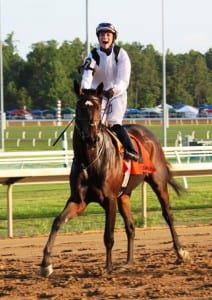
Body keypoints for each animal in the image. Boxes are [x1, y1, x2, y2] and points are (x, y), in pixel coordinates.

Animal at [40, 81, 190, 276]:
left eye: (98, 107)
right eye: (79, 108)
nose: (92, 138)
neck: (90, 162)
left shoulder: (109, 199)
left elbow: (108, 235)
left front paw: (108, 267)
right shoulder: (79, 201)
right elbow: (57, 222)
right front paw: (46, 264)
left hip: (158, 182)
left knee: (168, 215)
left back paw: (180, 252)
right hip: (124, 195)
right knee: (131, 226)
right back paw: (128, 262)